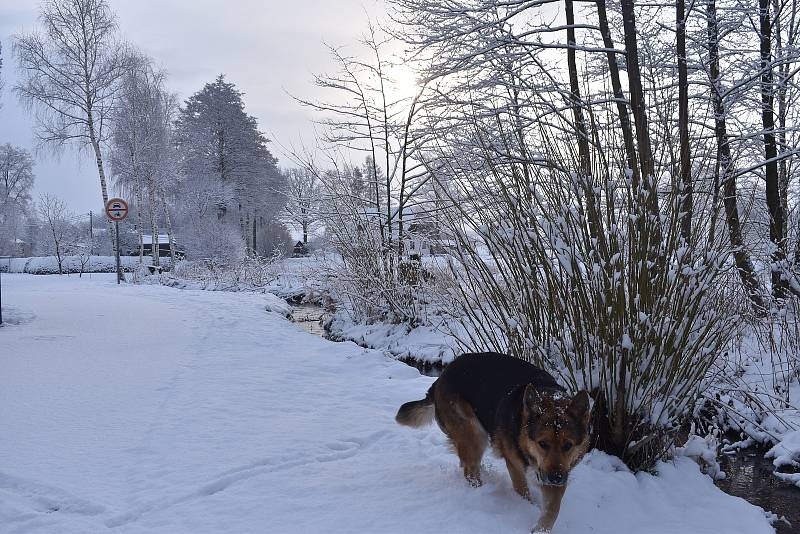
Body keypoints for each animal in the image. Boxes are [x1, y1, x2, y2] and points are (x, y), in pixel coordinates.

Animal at [396, 354, 592, 532]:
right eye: (542, 443)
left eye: (568, 445)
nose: (556, 478)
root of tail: (442, 375)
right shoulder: (517, 466)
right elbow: (523, 492)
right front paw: (526, 509)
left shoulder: (559, 471)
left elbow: (553, 509)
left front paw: (541, 528)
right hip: (474, 433)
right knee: (470, 470)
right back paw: (480, 491)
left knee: (466, 462)